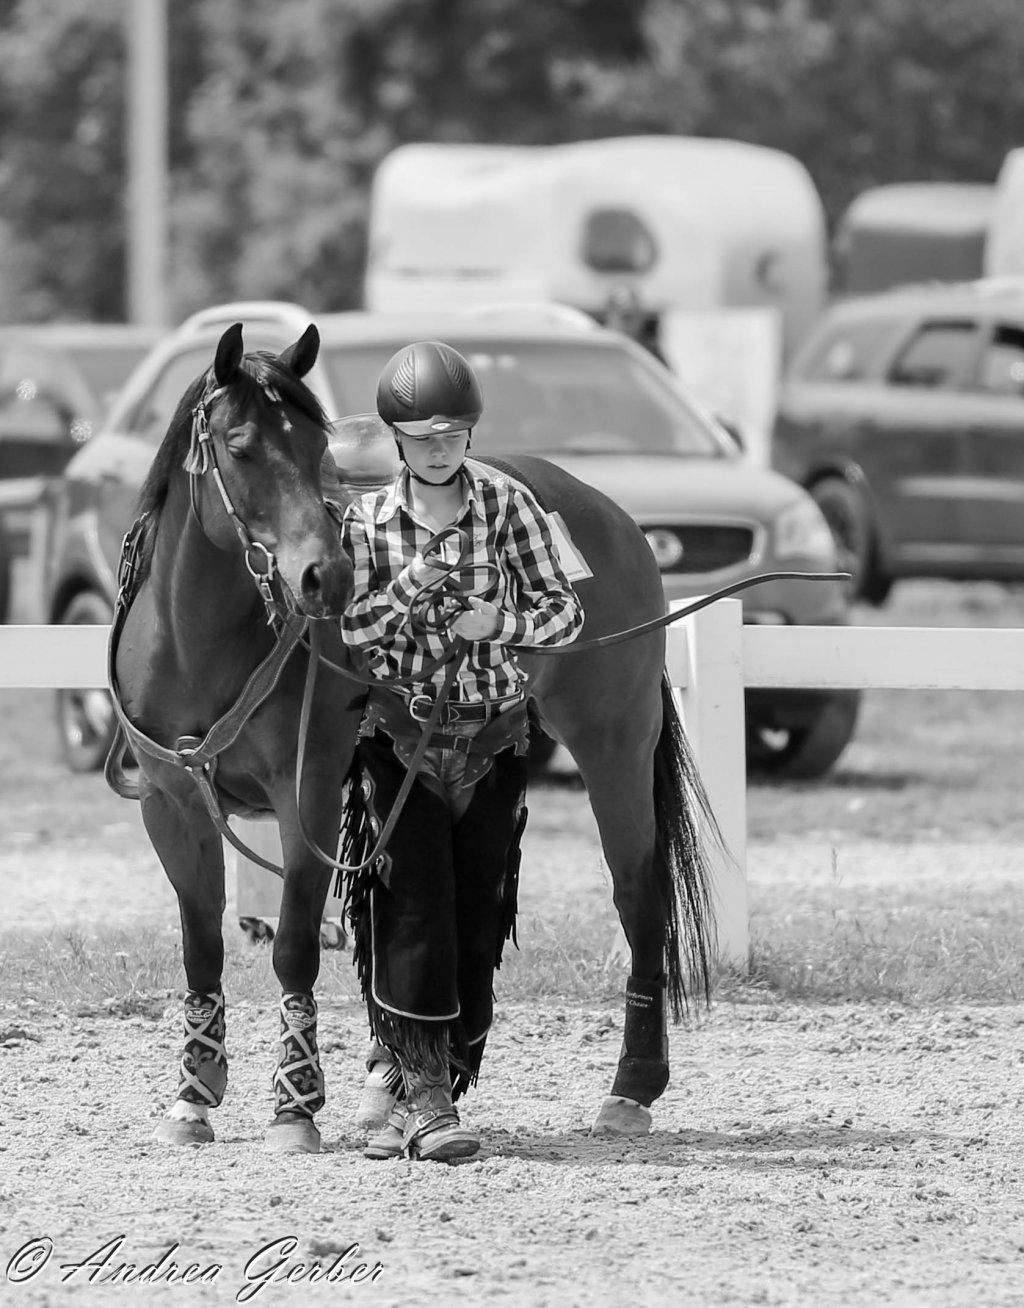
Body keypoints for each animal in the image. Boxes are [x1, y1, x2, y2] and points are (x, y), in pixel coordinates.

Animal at [108, 321, 717, 1153]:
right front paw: (194, 1096)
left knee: (639, 901)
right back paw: (391, 1091)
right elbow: (202, 946)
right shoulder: (171, 808)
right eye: (240, 447)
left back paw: (631, 1088)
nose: (327, 577)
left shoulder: (306, 796)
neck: (198, 650)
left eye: (316, 446)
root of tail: (611, 513)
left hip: (614, 748)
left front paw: (295, 1106)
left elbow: (294, 946)